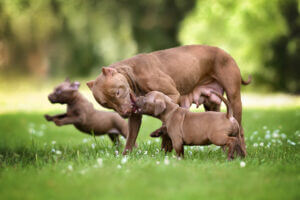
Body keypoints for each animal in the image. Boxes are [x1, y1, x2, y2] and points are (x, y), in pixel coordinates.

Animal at [86, 45, 251, 155]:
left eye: (118, 92)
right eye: (107, 104)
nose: (125, 113)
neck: (132, 73)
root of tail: (224, 51)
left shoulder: (172, 96)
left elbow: (166, 127)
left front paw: (166, 149)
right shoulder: (135, 115)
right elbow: (130, 138)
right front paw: (125, 157)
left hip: (234, 98)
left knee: (241, 131)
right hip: (212, 105)